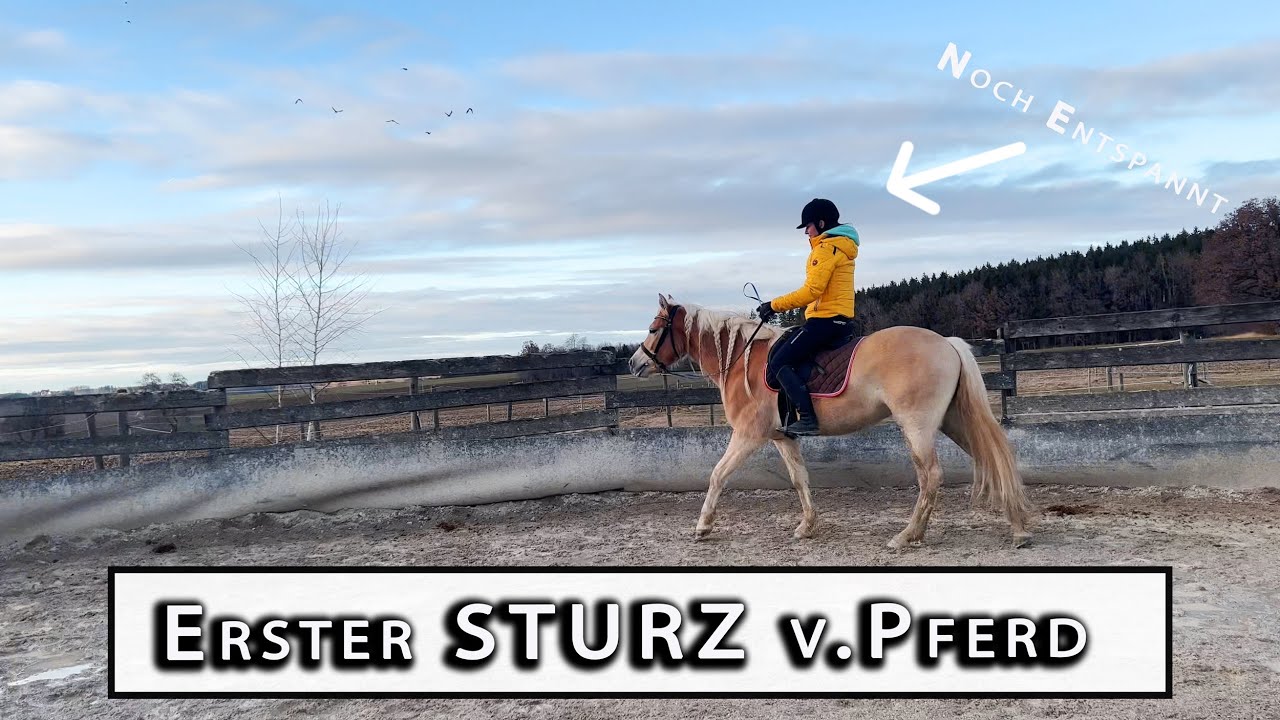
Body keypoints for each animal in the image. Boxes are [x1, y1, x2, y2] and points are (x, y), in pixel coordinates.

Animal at [627, 294, 1035, 549]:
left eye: (653, 328)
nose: (634, 363)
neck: (744, 360)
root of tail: (947, 343)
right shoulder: (783, 437)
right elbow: (800, 479)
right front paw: (807, 527)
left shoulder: (748, 435)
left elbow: (717, 475)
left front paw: (703, 526)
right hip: (953, 421)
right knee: (990, 458)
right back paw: (1018, 530)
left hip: (917, 426)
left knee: (930, 477)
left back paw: (907, 537)